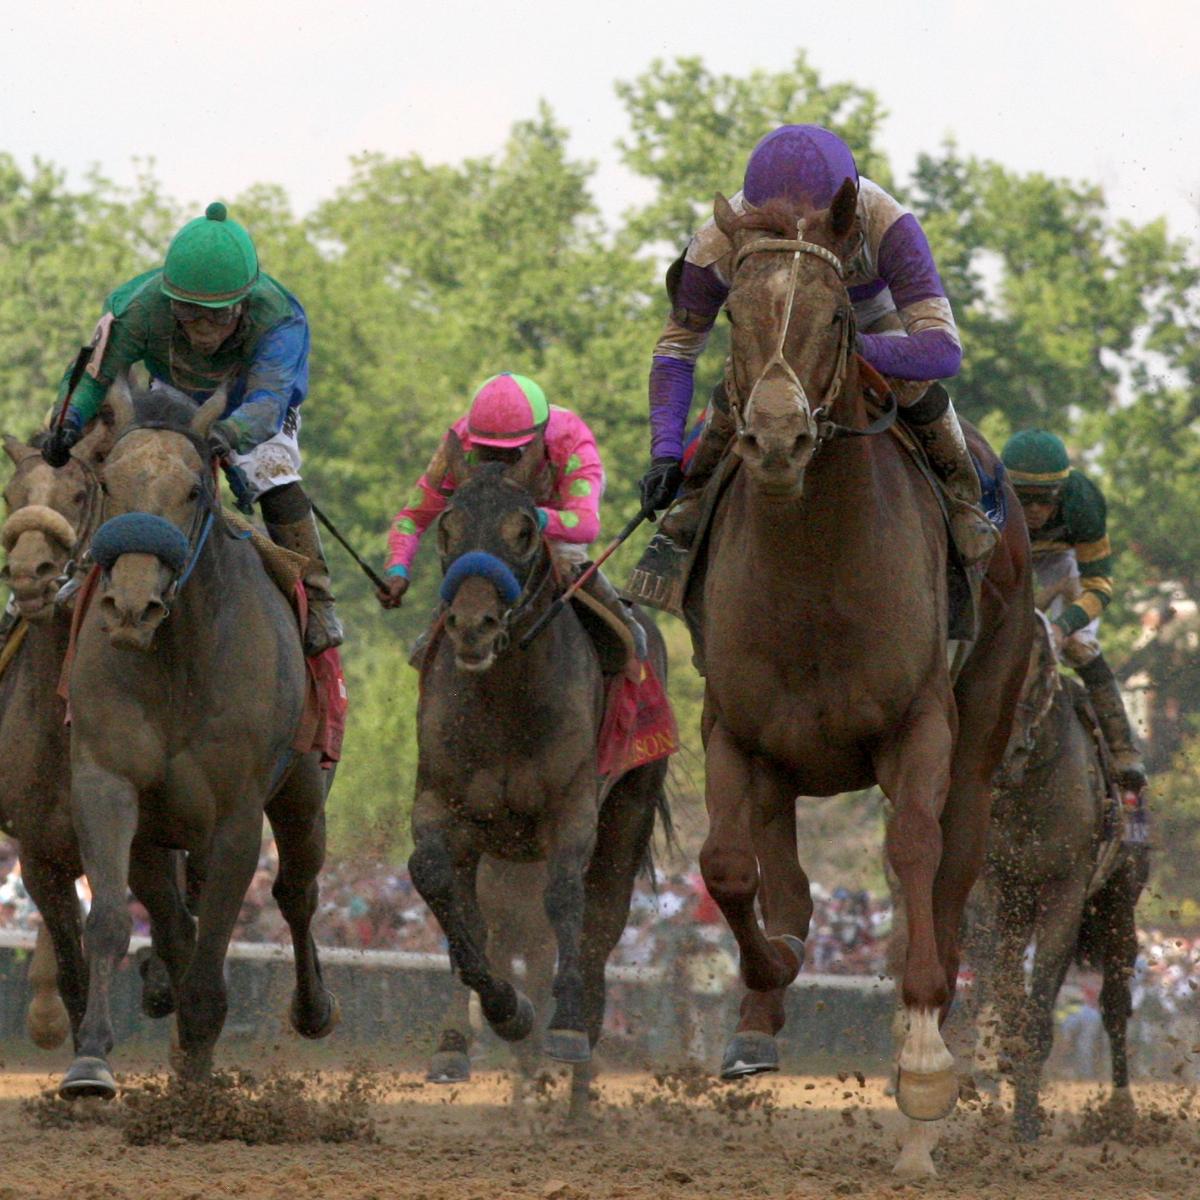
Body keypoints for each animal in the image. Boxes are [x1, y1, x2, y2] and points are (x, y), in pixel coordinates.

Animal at [61, 381, 338, 1099]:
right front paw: (92, 1059)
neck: (177, 656)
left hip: (303, 793)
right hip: (160, 832)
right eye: (109, 481)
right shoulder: (106, 782)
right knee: (173, 917)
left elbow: (217, 946)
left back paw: (312, 1008)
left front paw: (197, 1067)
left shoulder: (237, 815)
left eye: (193, 490)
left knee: (296, 893)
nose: (132, 608)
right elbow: (110, 919)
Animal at [700, 182, 1036, 1176]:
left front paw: (923, 1064)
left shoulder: (916, 723)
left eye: (838, 315)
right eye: (733, 311)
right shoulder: (733, 726)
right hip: (779, 760)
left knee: (952, 874)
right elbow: (729, 867)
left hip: (987, 722)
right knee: (781, 875)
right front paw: (767, 982)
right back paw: (761, 1012)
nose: (775, 435)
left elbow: (915, 852)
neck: (813, 566)